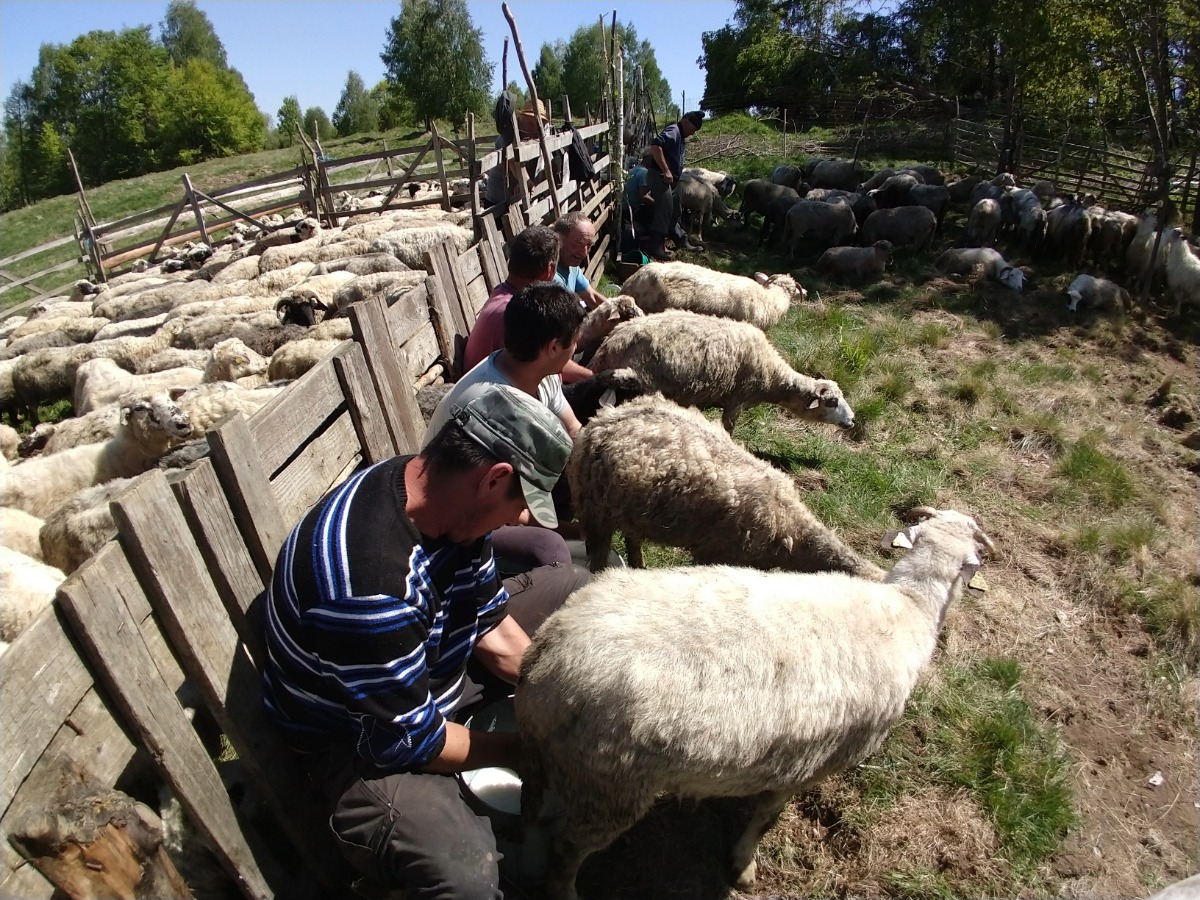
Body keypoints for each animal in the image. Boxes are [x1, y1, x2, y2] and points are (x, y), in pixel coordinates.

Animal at [515, 506, 996, 900]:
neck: (909, 607)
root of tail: (547, 653)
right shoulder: (813, 761)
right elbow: (766, 818)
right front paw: (744, 865)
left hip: (558, 766)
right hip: (609, 785)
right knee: (567, 849)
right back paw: (566, 891)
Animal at [568, 395, 885, 576]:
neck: (792, 529)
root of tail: (603, 419)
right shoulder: (719, 554)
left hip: (630, 509)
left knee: (633, 537)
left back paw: (638, 566)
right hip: (594, 510)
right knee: (598, 555)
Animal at [589, 310, 855, 433]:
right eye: (832, 402)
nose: (852, 420)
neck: (772, 376)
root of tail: (614, 339)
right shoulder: (736, 401)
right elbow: (729, 428)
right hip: (640, 376)